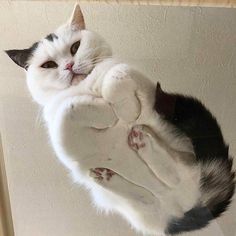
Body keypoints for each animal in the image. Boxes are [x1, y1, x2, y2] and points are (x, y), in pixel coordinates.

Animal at [5, 3, 234, 236]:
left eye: (75, 47)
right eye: (49, 65)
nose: (69, 65)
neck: (86, 87)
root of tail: (188, 207)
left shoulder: (139, 79)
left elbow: (116, 74)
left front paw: (124, 110)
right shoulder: (61, 136)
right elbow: (68, 108)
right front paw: (106, 110)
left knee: (172, 176)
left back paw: (142, 141)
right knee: (150, 191)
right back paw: (110, 175)